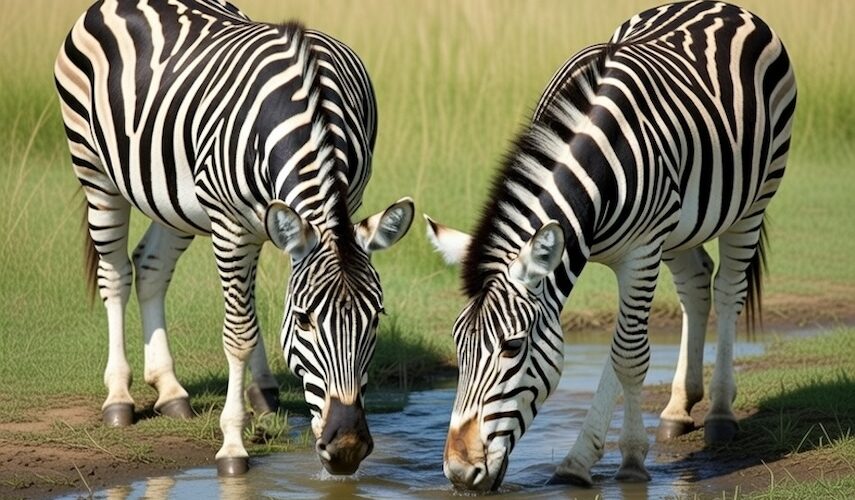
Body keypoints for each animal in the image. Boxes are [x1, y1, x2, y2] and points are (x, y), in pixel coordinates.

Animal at [54, 0, 414, 476]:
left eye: (376, 318)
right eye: (304, 320)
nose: (347, 447)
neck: (311, 108)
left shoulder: (336, 208)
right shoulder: (230, 226)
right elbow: (238, 332)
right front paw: (232, 444)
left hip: (175, 197)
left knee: (150, 267)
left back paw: (173, 390)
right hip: (95, 169)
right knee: (115, 275)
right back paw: (119, 398)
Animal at [426, 0, 796, 490]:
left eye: (511, 347)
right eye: (456, 345)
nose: (458, 472)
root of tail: (720, 5)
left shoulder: (640, 254)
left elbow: (629, 356)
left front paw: (629, 459)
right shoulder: (642, 245)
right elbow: (621, 349)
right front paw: (582, 461)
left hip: (754, 200)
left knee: (728, 289)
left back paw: (719, 413)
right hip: (679, 227)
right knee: (697, 287)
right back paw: (678, 409)